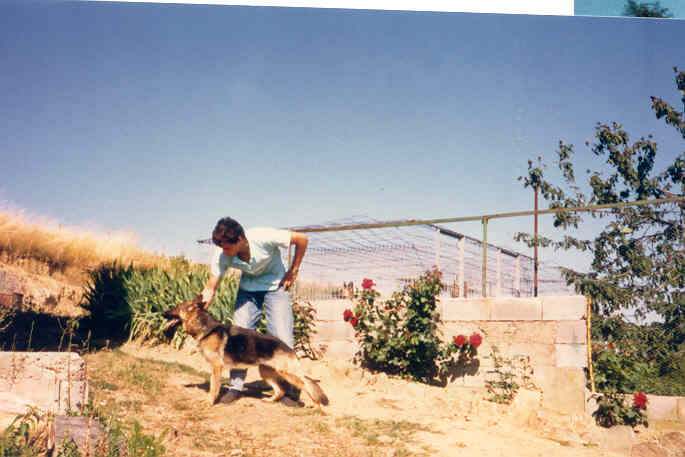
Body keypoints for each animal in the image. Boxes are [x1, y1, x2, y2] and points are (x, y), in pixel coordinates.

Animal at [163, 296, 328, 406]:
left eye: (177, 307)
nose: (163, 313)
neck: (206, 329)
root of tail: (289, 349)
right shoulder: (215, 368)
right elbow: (212, 385)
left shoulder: (217, 367)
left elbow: (213, 387)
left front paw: (210, 402)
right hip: (266, 372)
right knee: (280, 390)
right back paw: (270, 400)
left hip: (287, 374)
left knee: (306, 385)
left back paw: (316, 406)